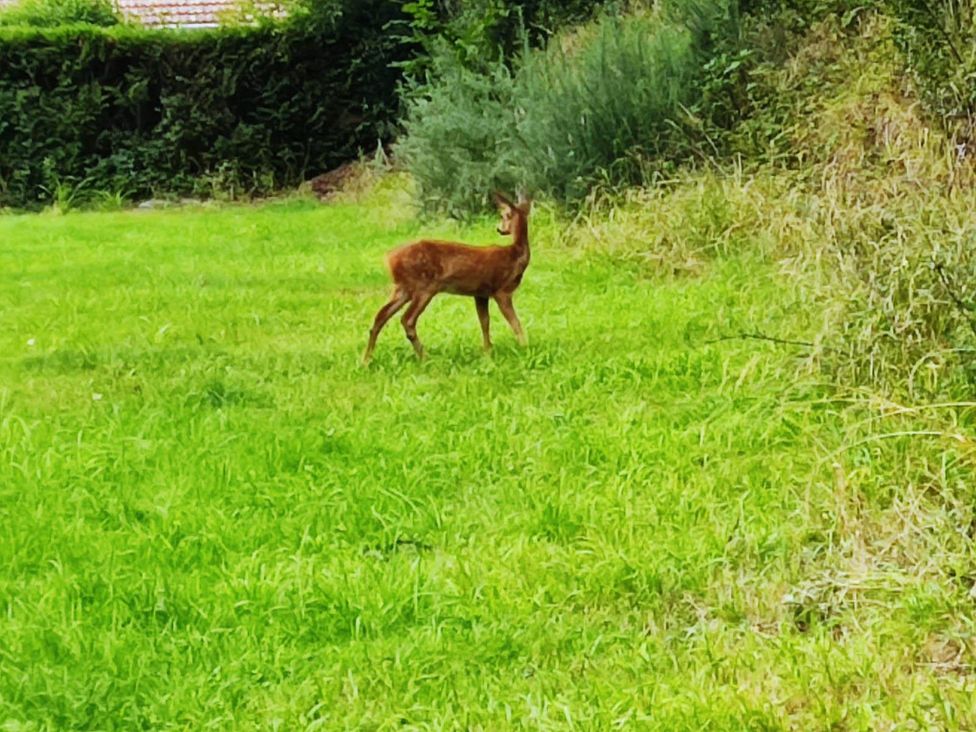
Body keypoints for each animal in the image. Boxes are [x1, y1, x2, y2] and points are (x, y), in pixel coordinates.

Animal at [363, 191, 532, 363]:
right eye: (502, 215)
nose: (499, 228)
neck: (515, 255)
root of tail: (389, 258)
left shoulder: (480, 293)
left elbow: (484, 322)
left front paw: (487, 352)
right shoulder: (501, 290)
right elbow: (515, 322)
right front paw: (525, 348)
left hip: (403, 288)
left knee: (381, 316)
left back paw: (366, 359)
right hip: (425, 286)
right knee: (407, 319)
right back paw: (425, 357)